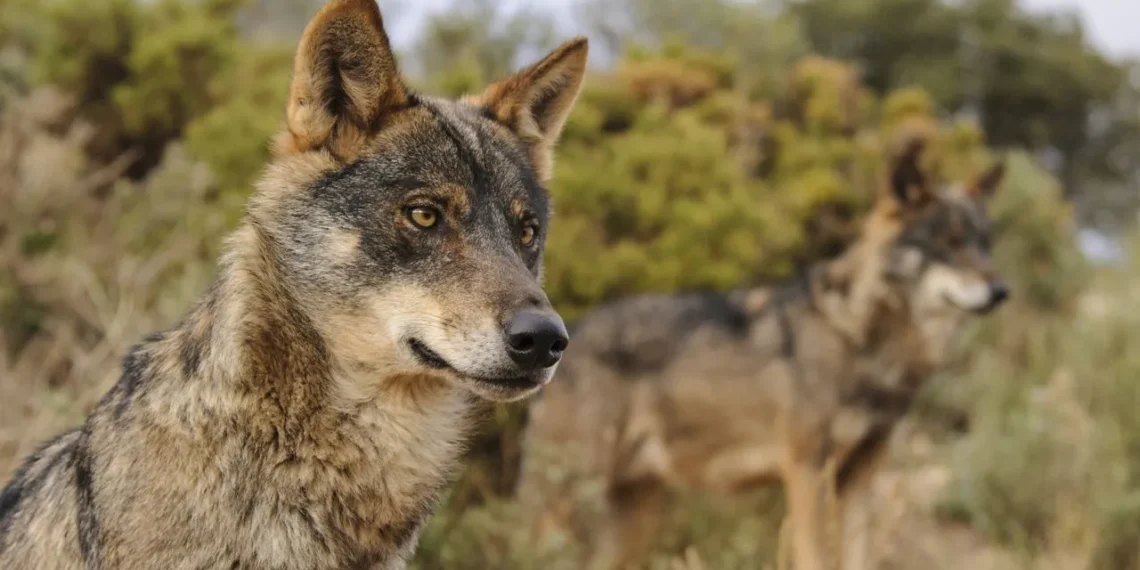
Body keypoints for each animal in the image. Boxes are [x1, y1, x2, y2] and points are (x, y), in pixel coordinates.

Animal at [518, 140, 1009, 570]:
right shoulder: (808, 472)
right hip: (571, 502)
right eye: (948, 242)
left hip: (632, 521)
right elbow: (816, 559)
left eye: (985, 244)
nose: (1002, 290)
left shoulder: (862, 478)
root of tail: (569, 332)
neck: (862, 340)